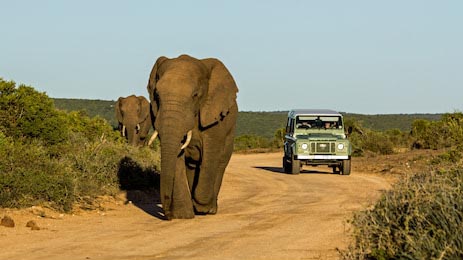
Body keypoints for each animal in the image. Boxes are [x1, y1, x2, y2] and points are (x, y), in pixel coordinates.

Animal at [147, 54, 237, 219]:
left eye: (195, 95)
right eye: (156, 95)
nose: (168, 214)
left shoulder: (214, 119)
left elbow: (211, 155)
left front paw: (202, 207)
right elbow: (177, 157)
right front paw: (183, 215)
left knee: (220, 163)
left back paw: (210, 209)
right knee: (192, 165)